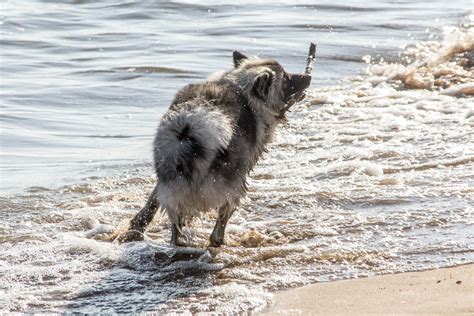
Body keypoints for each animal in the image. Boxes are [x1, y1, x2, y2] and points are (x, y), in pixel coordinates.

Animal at [117, 50, 312, 247]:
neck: (243, 87)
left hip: (172, 181)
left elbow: (151, 204)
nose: (308, 77)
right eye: (286, 77)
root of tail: (190, 127)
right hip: (235, 188)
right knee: (218, 228)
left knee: (175, 227)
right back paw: (220, 242)